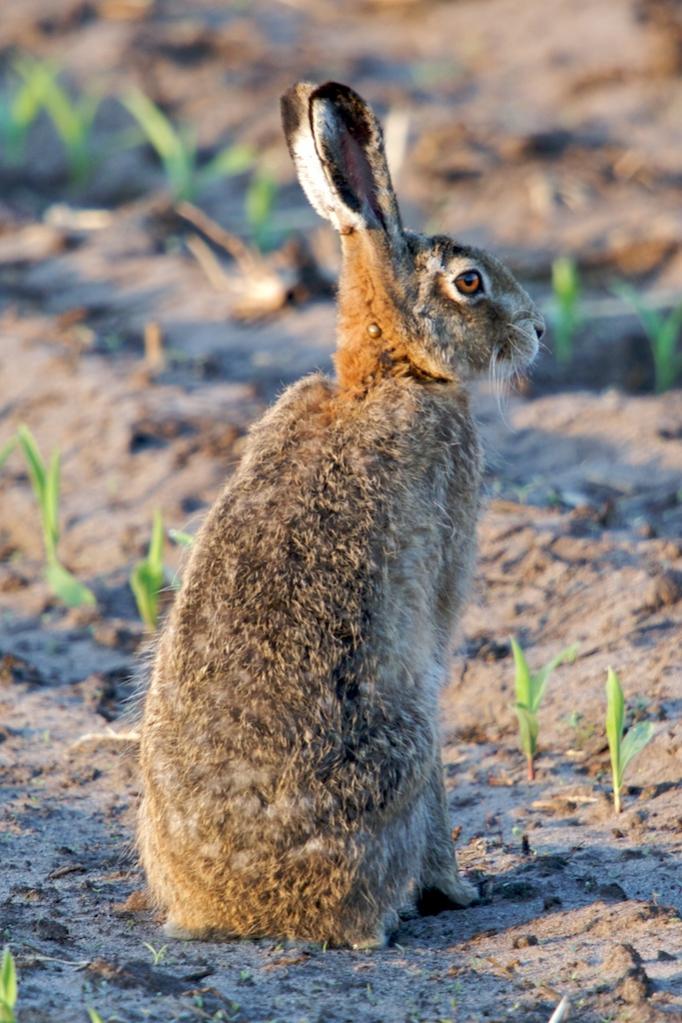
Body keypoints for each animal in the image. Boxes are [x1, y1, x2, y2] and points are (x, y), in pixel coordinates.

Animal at [137, 81, 543, 949]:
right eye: (469, 283)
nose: (537, 330)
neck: (392, 370)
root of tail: (246, 912)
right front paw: (461, 889)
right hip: (406, 740)